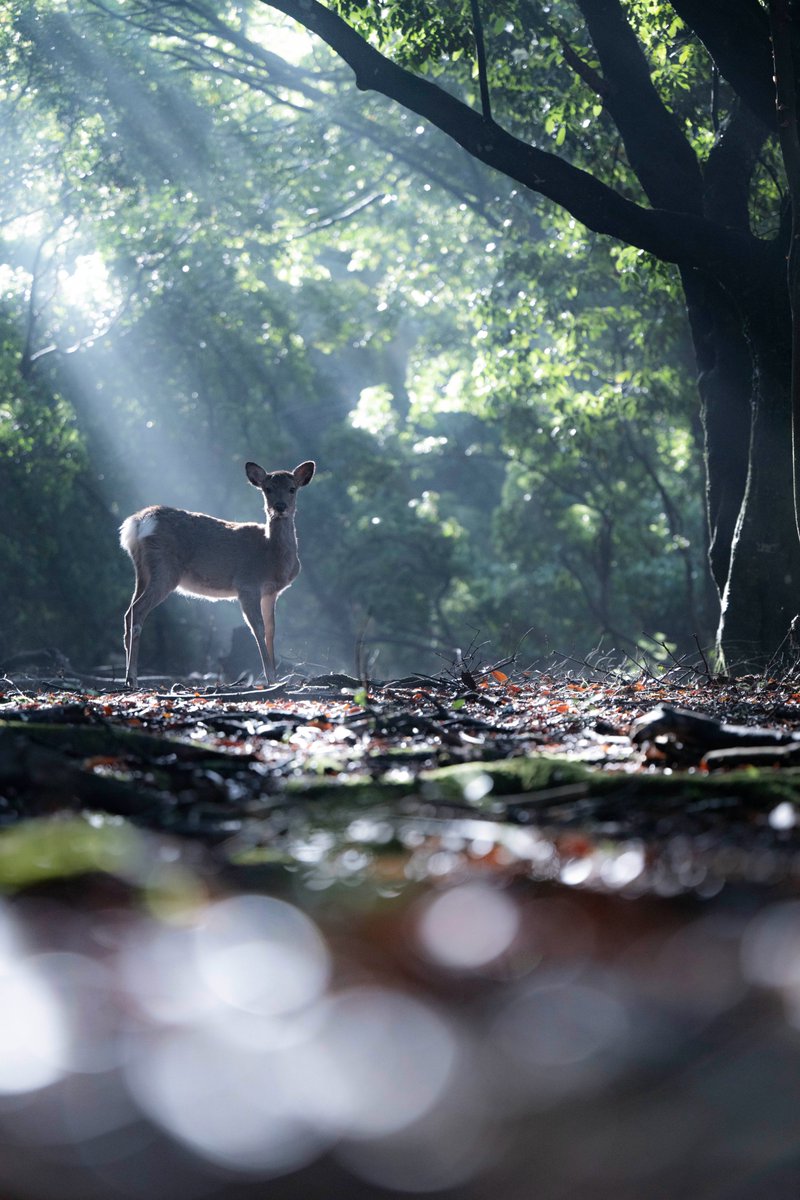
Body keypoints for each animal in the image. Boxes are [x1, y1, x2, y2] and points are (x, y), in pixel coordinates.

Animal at [120, 458, 314, 686]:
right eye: (268, 489)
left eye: (292, 488)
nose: (280, 507)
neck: (271, 555)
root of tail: (137, 522)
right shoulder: (247, 584)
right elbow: (257, 628)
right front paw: (270, 677)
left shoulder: (271, 592)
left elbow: (271, 630)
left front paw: (275, 676)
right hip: (165, 568)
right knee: (138, 610)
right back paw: (132, 678)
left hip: (142, 570)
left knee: (128, 612)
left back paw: (128, 677)